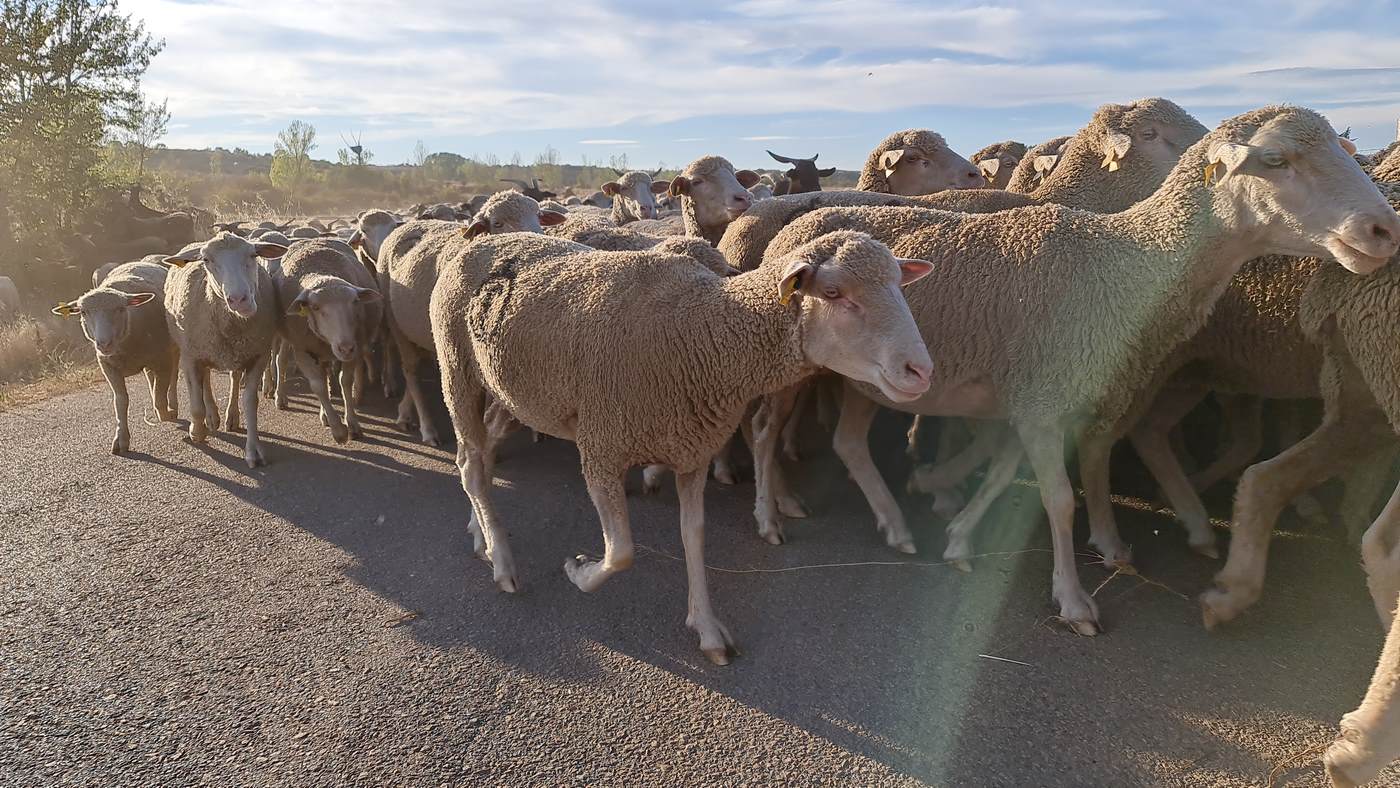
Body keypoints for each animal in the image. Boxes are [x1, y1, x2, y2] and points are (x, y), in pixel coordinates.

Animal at [50, 261, 180, 453]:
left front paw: (164, 413)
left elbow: (161, 389)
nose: (103, 344)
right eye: (83, 312)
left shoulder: (163, 359)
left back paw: (171, 406)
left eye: (120, 309)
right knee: (151, 378)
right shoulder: (108, 366)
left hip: (174, 349)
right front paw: (121, 439)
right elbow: (121, 401)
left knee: (173, 378)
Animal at [161, 232, 287, 467]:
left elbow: (250, 402)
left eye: (253, 255)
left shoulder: (258, 355)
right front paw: (197, 432)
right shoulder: (191, 356)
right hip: (203, 349)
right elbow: (196, 403)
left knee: (234, 378)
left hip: (234, 352)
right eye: (206, 260)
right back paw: (211, 417)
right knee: (206, 381)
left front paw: (253, 450)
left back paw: (231, 416)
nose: (239, 300)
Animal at [268, 239, 383, 445]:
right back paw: (280, 397)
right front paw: (338, 430)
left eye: (355, 302)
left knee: (325, 370)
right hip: (289, 337)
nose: (345, 348)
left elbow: (345, 381)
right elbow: (318, 386)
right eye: (315, 307)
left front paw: (352, 424)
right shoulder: (303, 349)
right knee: (282, 361)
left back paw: (324, 415)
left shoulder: (354, 346)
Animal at [425, 229, 929, 666]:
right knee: (470, 464)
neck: (701, 332)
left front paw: (706, 628)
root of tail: (476, 240)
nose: (921, 371)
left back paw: (481, 533)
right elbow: (621, 552)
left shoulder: (691, 450)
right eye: (834, 293)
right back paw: (502, 562)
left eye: (898, 285)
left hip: (510, 392)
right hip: (457, 370)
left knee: (479, 457)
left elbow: (694, 536)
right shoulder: (601, 447)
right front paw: (578, 570)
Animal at [761, 104, 1400, 635]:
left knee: (849, 443)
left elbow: (1006, 476)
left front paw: (958, 532)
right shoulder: (1043, 406)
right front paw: (1073, 600)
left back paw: (895, 525)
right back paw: (775, 515)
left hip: (867, 379)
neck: (1119, 259)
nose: (1384, 230)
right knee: (769, 432)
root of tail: (793, 225)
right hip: (792, 369)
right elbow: (1059, 500)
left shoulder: (1037, 400)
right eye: (1275, 159)